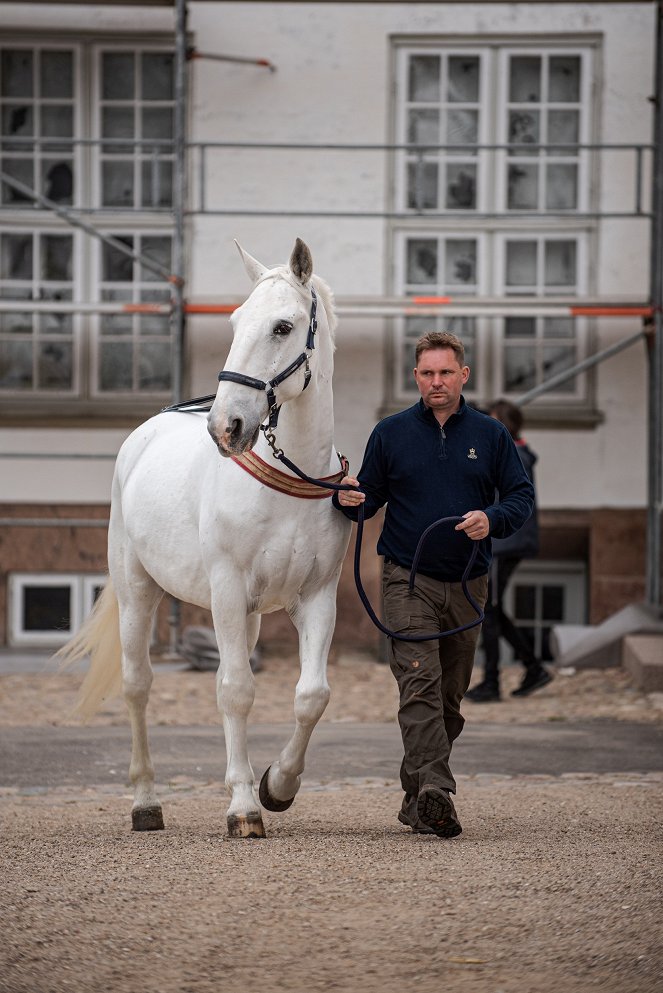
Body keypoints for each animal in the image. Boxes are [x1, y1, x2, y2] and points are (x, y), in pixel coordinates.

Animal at [58, 238, 352, 836]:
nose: (225, 427)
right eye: (236, 321)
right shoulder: (227, 589)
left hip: (250, 615)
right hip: (138, 592)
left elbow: (311, 696)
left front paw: (277, 786)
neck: (287, 482)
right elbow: (236, 691)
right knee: (138, 684)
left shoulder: (316, 597)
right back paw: (146, 802)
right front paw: (243, 808)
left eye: (283, 326)